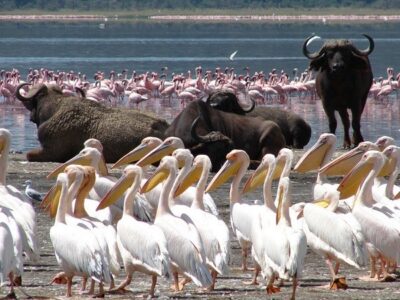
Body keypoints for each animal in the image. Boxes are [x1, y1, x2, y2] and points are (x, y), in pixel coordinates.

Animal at [15, 83, 169, 162]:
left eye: (34, 101)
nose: (31, 115)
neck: (55, 108)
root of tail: (164, 127)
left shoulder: (50, 151)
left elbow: (29, 155)